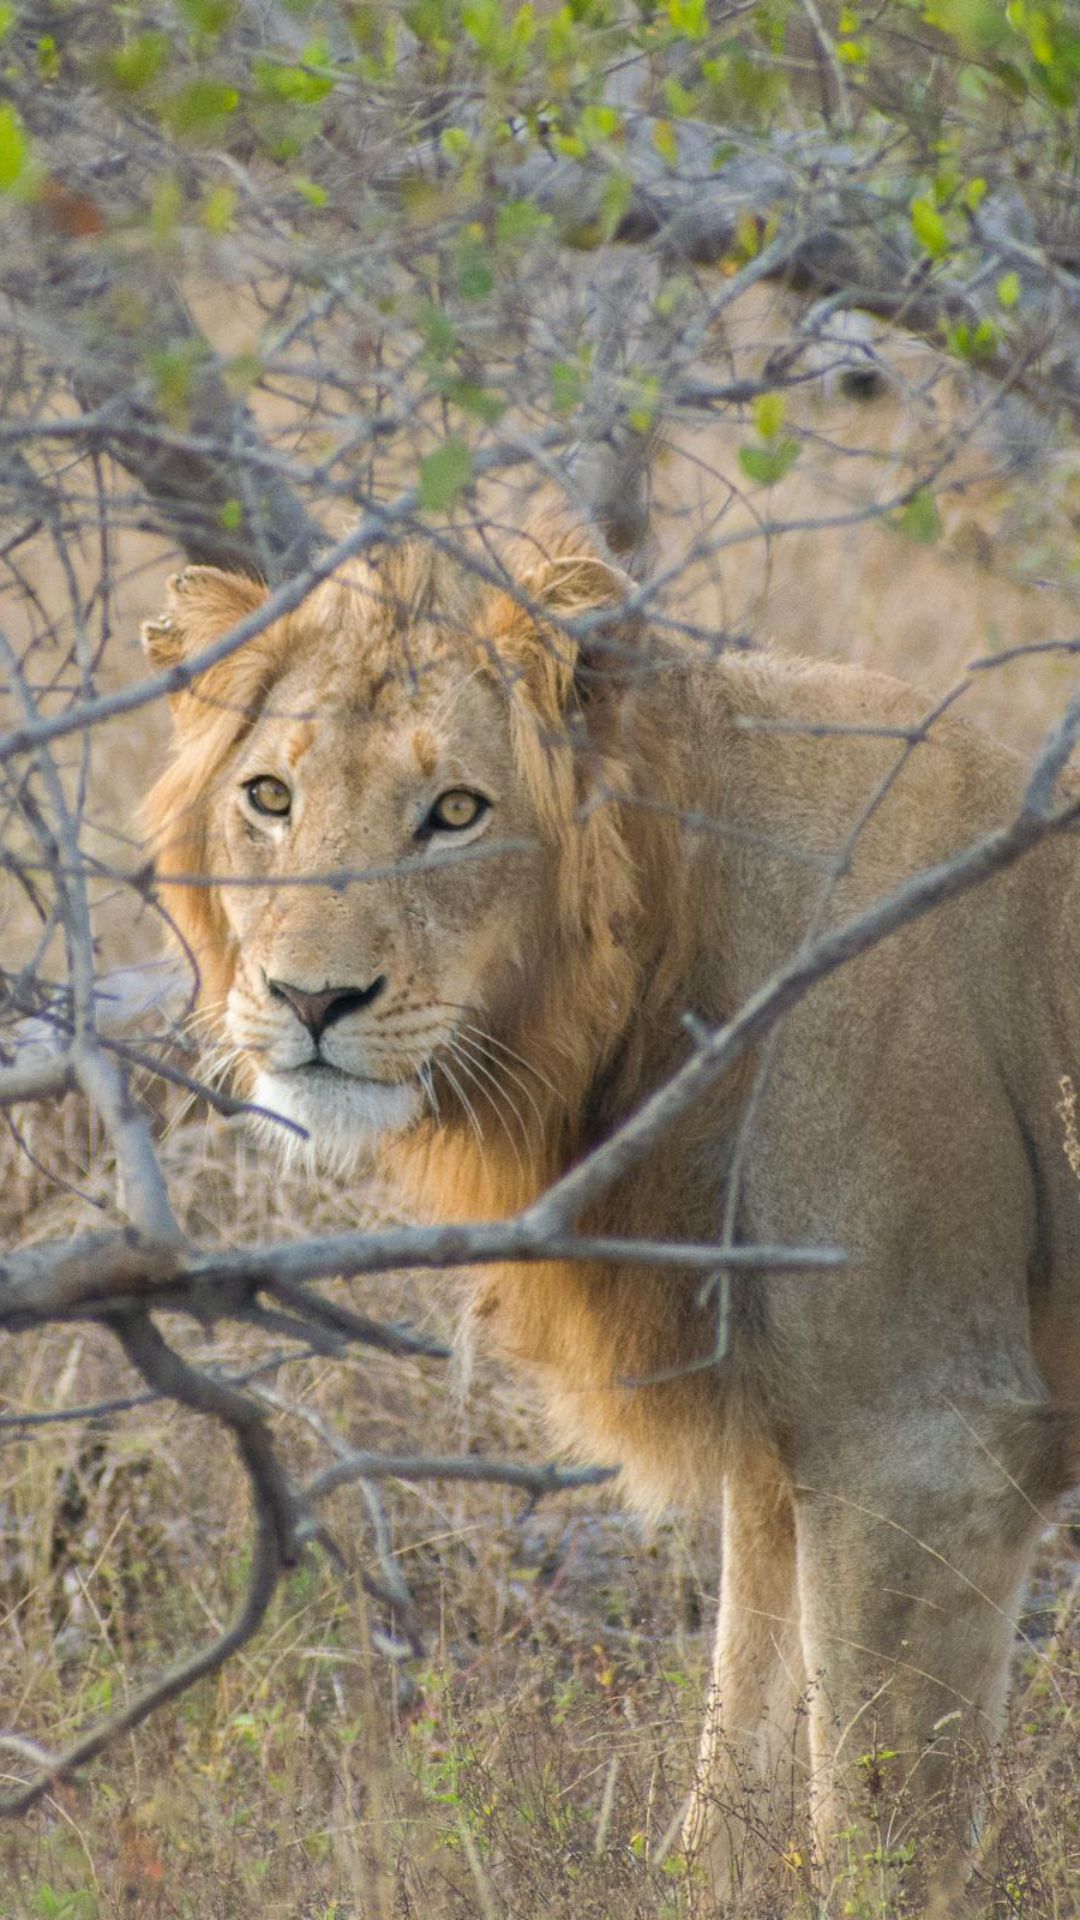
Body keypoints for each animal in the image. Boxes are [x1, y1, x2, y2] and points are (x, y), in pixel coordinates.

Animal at [141, 527, 1080, 1907]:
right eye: (268, 797)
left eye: (457, 811)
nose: (309, 999)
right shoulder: (785, 1433)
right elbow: (738, 1749)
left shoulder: (926, 1436)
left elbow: (875, 1835)